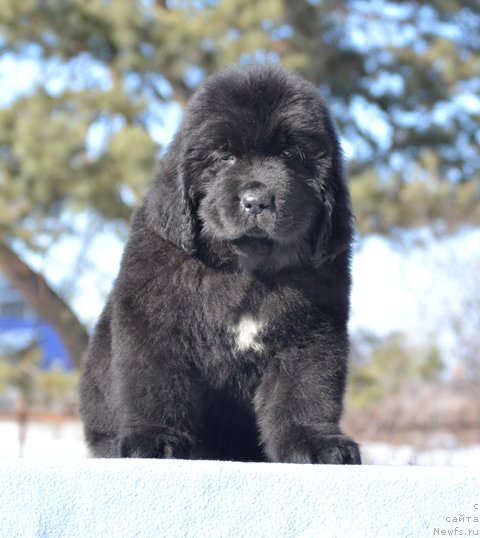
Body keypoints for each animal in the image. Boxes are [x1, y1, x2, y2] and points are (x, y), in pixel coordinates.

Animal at [80, 63, 362, 460]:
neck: (247, 266)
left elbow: (306, 390)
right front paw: (156, 437)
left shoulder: (311, 333)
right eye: (224, 155)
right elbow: (154, 382)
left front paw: (316, 442)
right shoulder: (152, 320)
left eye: (291, 154)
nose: (257, 200)